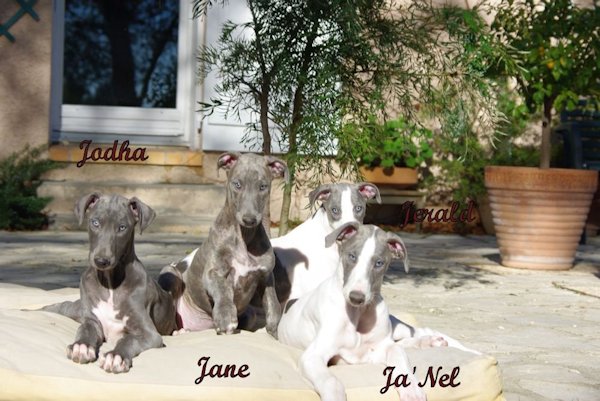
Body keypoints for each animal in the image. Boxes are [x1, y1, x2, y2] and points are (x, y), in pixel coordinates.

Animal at [42, 193, 177, 373]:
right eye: (95, 222)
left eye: (122, 227)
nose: (101, 261)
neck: (110, 283)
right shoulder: (92, 320)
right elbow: (84, 330)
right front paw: (81, 346)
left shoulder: (150, 334)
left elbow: (128, 339)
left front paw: (115, 356)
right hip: (76, 308)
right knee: (59, 307)